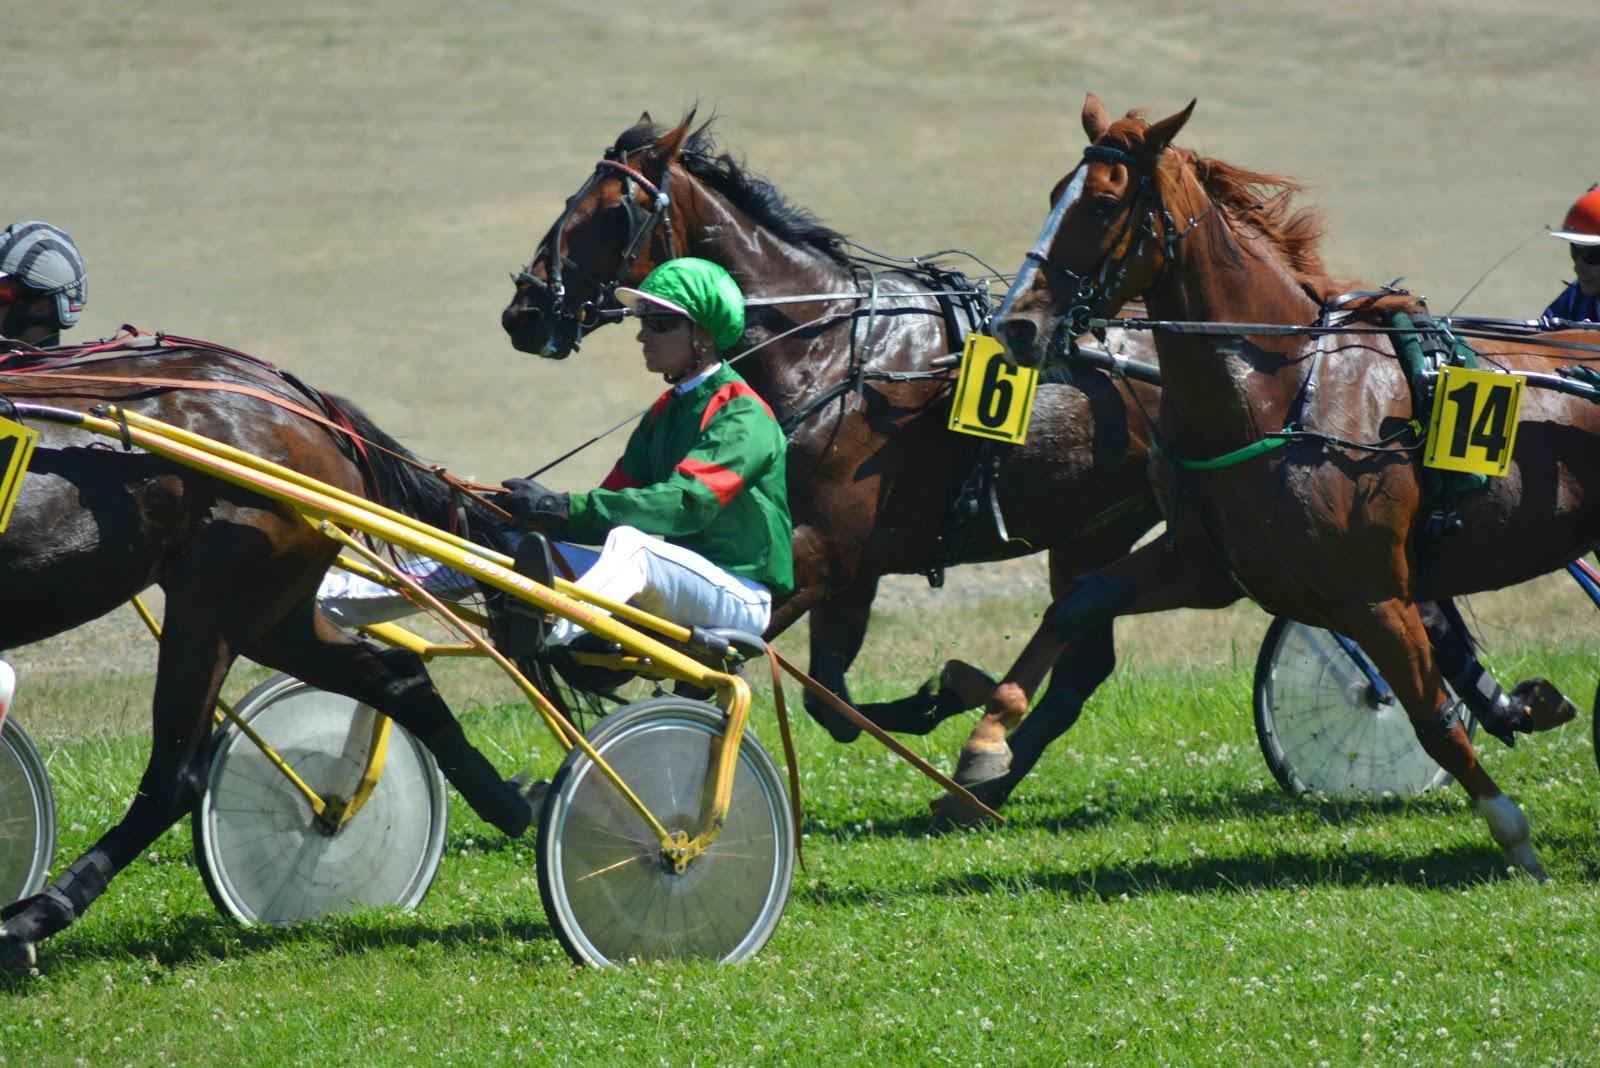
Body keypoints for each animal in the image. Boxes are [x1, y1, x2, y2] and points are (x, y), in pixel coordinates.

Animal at [0, 340, 547, 965]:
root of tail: (310, 408)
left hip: (213, 600)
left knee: (176, 777)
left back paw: (34, 919)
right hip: (272, 612)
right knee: (398, 677)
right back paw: (508, 802)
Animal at [499, 110, 1177, 808]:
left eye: (612, 210)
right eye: (571, 200)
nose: (524, 312)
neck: (825, 345)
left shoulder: (821, 552)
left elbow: (728, 676)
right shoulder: (851, 568)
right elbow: (828, 699)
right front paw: (943, 696)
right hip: (1094, 531)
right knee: (1084, 654)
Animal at [972, 93, 1600, 876]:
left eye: (1104, 203)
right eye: (1057, 193)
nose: (1015, 325)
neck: (1283, 394)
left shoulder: (1374, 597)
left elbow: (1434, 722)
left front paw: (1515, 838)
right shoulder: (1205, 568)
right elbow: (1074, 605)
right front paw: (986, 742)